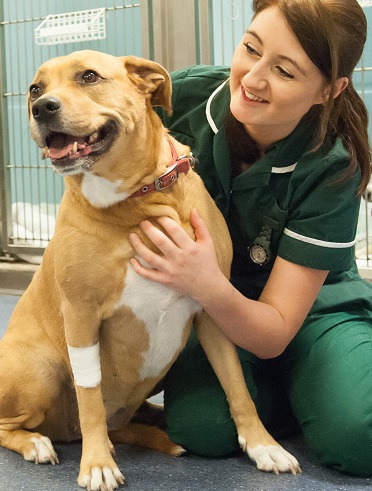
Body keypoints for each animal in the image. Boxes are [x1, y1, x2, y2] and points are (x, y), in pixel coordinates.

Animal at [0, 50, 300, 488]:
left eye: (88, 77)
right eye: (35, 88)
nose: (42, 107)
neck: (136, 202)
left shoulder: (213, 308)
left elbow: (236, 386)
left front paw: (263, 445)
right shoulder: (80, 313)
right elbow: (89, 395)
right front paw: (96, 465)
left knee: (119, 423)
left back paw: (157, 431)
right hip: (43, 367)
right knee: (21, 425)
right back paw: (41, 443)